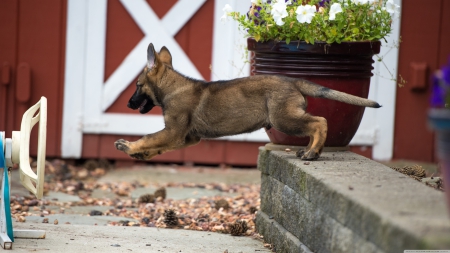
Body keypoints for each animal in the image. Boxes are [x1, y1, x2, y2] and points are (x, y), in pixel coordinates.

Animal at [114, 43, 382, 160]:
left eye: (137, 85)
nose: (128, 104)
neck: (172, 87)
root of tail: (294, 80)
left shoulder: (174, 131)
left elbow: (149, 137)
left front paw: (129, 146)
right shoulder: (185, 137)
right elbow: (158, 144)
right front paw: (142, 154)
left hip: (284, 119)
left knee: (320, 122)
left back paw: (312, 152)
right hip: (288, 118)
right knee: (315, 123)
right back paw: (310, 150)